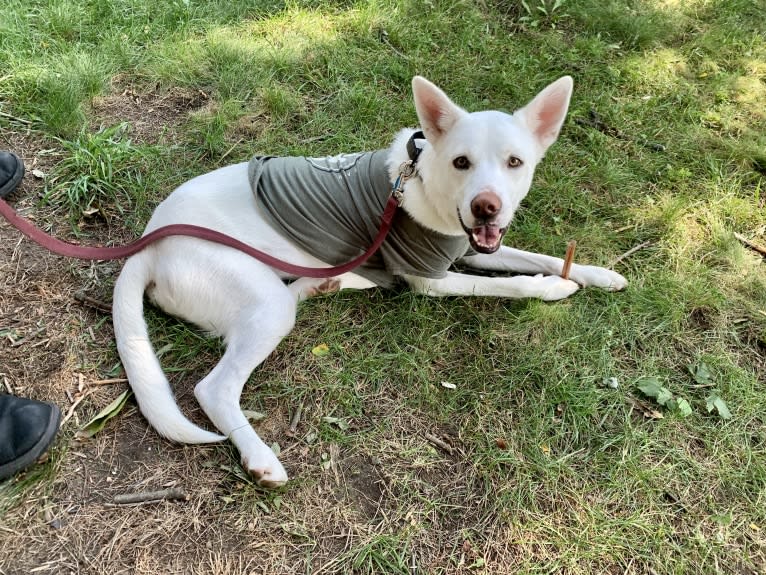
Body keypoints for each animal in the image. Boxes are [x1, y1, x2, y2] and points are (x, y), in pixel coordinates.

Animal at [114, 76, 632, 488]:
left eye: (515, 162)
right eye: (461, 162)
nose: (487, 207)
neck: (422, 185)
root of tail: (147, 246)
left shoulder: (473, 248)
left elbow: (541, 257)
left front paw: (599, 273)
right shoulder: (431, 278)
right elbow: (513, 283)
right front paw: (552, 288)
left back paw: (329, 284)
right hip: (261, 304)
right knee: (214, 388)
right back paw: (261, 459)